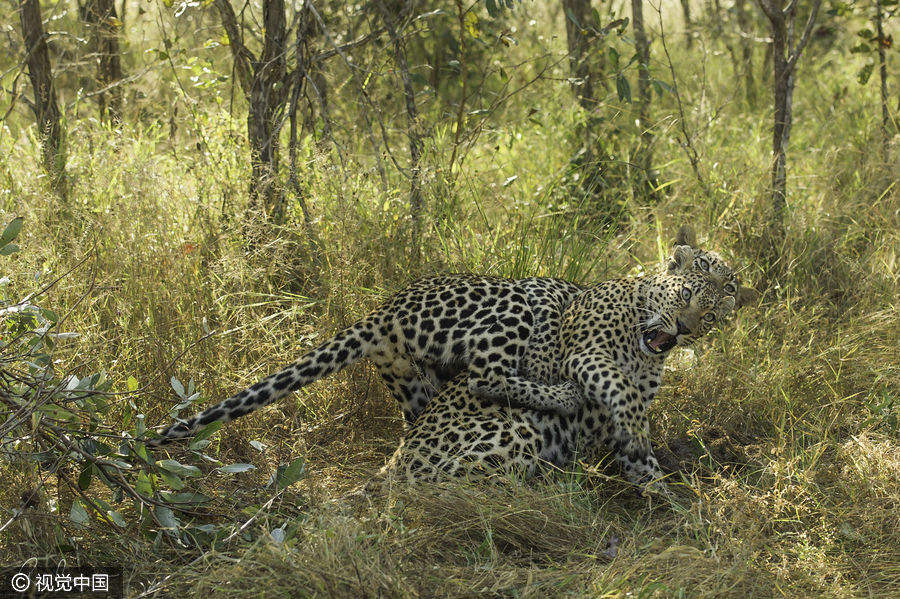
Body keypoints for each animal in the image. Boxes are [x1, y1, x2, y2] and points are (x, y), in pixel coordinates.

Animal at [146, 227, 752, 452]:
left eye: (713, 316)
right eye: (688, 294)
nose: (686, 330)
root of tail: (384, 311)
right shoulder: (580, 339)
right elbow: (612, 386)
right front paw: (628, 426)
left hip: (415, 382)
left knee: (446, 405)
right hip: (509, 306)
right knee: (490, 378)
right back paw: (560, 397)